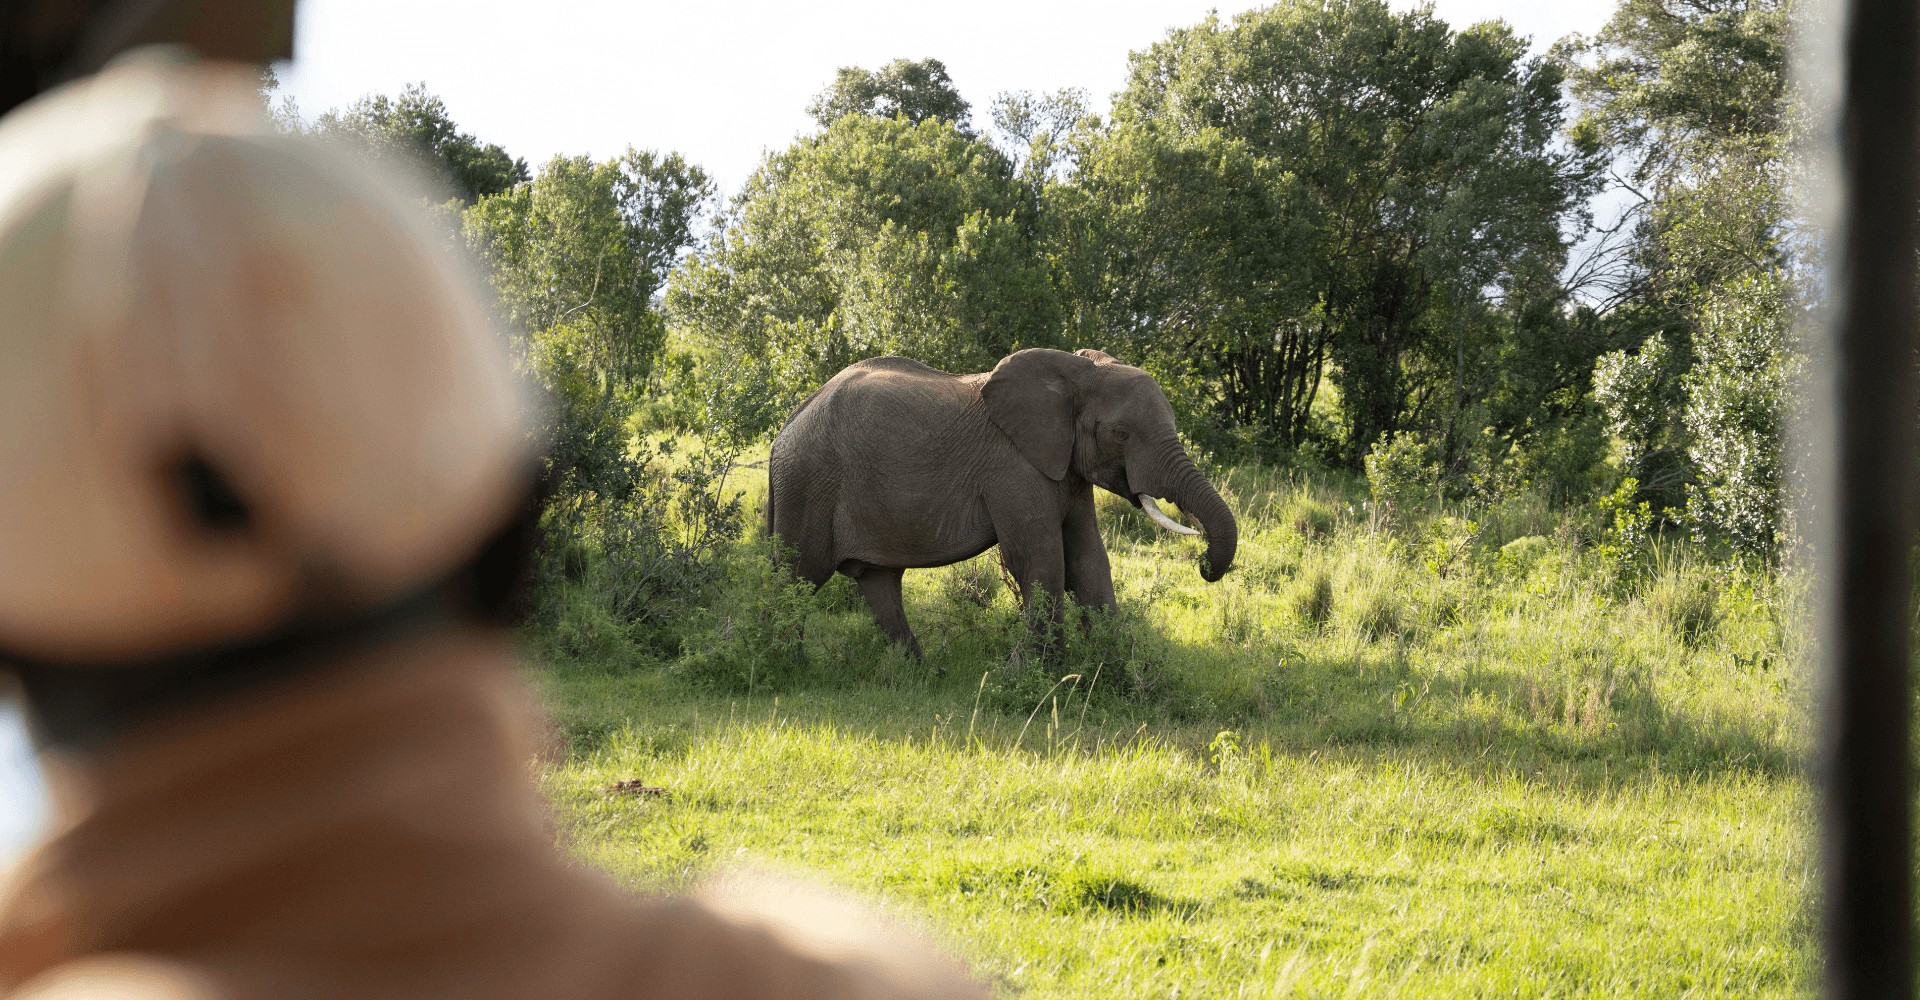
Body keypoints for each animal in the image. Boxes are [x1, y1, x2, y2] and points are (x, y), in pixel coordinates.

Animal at [767, 347, 1238, 657]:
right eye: (1119, 434)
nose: (1202, 563)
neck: (1076, 372)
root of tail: (787, 425)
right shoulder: (1014, 467)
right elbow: (1040, 559)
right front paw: (1045, 676)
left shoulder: (1065, 467)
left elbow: (1088, 558)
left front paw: (1115, 668)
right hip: (808, 485)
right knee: (795, 579)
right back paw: (786, 664)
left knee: (879, 583)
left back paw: (920, 672)